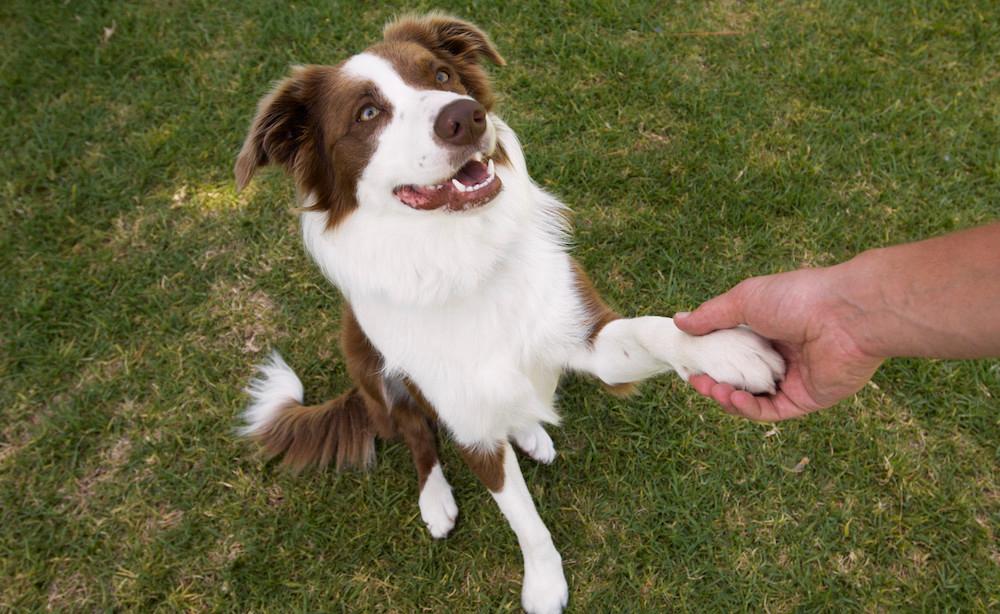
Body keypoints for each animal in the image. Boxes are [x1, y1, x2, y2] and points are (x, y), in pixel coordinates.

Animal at [234, 12, 780, 612]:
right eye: (368, 114)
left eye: (442, 74)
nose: (463, 115)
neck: (461, 259)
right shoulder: (470, 425)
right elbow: (523, 518)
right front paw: (543, 583)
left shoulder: (586, 334)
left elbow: (653, 329)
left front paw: (724, 348)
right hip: (368, 365)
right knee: (416, 435)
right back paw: (436, 498)